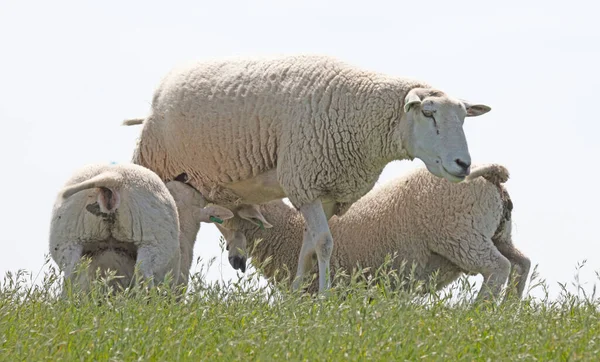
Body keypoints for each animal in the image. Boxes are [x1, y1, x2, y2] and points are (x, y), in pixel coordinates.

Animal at [48, 164, 232, 292]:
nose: (183, 174)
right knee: (143, 278)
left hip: (68, 240)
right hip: (152, 243)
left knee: (69, 276)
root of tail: (113, 178)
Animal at [123, 53, 492, 292]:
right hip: (160, 167)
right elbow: (326, 244)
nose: (464, 164)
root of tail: (168, 82)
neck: (358, 113)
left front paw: (299, 295)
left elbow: (310, 246)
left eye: (463, 117)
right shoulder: (306, 183)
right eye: (428, 113)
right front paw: (324, 296)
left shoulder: (327, 192)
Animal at [218, 165, 528, 302]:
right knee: (521, 264)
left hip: (461, 235)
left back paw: (479, 311)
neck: (288, 228)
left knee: (498, 267)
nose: (234, 261)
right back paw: (507, 311)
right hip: (497, 235)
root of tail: (490, 176)